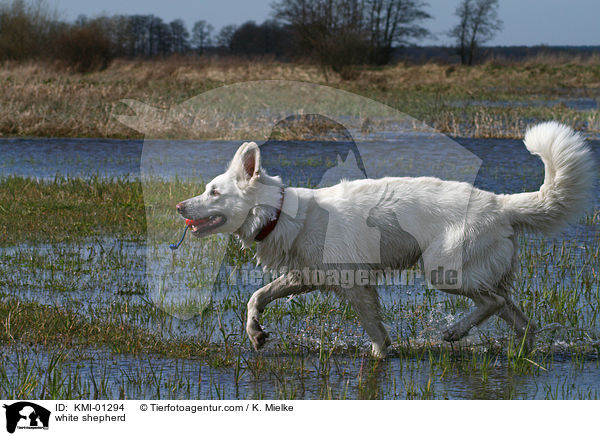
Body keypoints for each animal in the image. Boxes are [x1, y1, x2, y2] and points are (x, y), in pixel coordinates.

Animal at [176, 121, 592, 356]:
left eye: (214, 192)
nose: (179, 206)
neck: (282, 213)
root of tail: (502, 204)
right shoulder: (304, 276)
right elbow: (255, 297)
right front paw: (255, 334)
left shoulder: (355, 284)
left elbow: (373, 328)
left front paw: (380, 354)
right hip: (474, 277)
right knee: (519, 316)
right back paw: (522, 353)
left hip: (444, 272)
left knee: (493, 302)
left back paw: (455, 332)